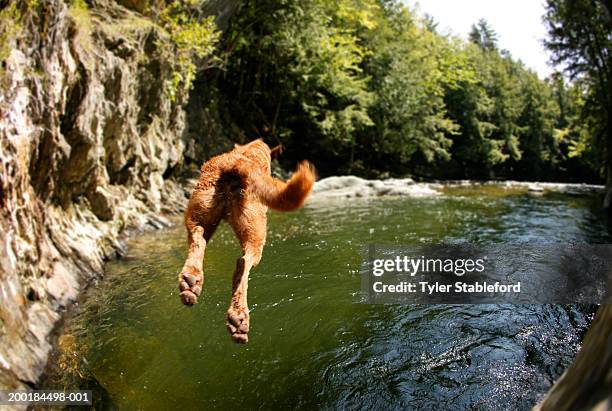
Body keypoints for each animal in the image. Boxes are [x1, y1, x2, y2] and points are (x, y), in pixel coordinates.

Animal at [177, 140, 316, 342]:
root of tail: (237, 164)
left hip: (199, 214)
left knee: (198, 238)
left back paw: (191, 281)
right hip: (256, 232)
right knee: (243, 264)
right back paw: (239, 317)